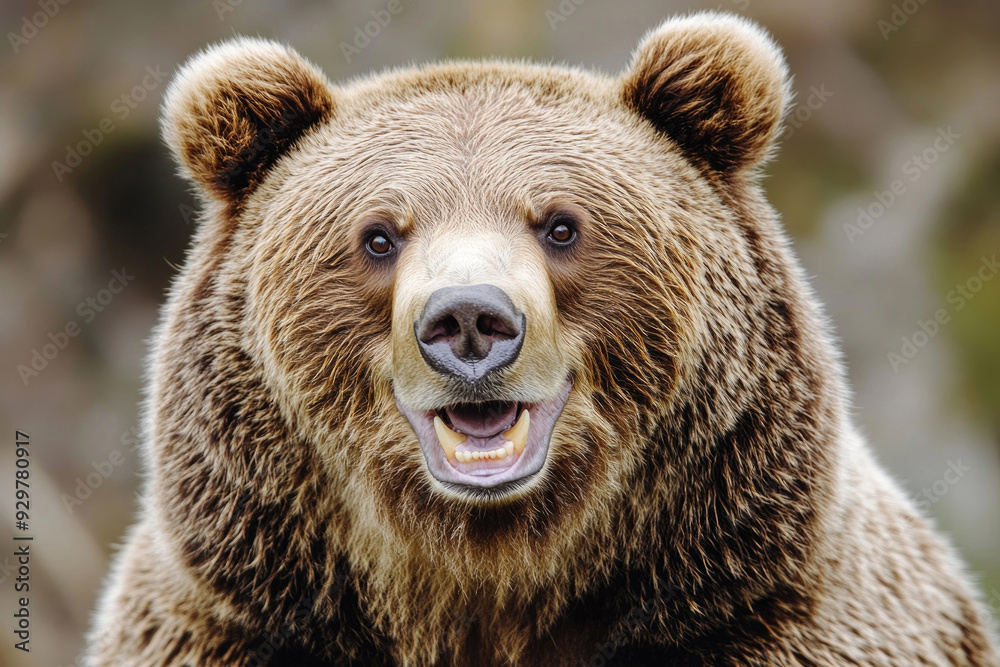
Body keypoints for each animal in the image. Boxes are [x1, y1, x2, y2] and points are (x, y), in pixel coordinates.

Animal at [85, 11, 1000, 667]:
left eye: (561, 224)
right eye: (378, 235)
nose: (468, 320)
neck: (490, 585)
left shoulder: (772, 621)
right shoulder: (237, 628)